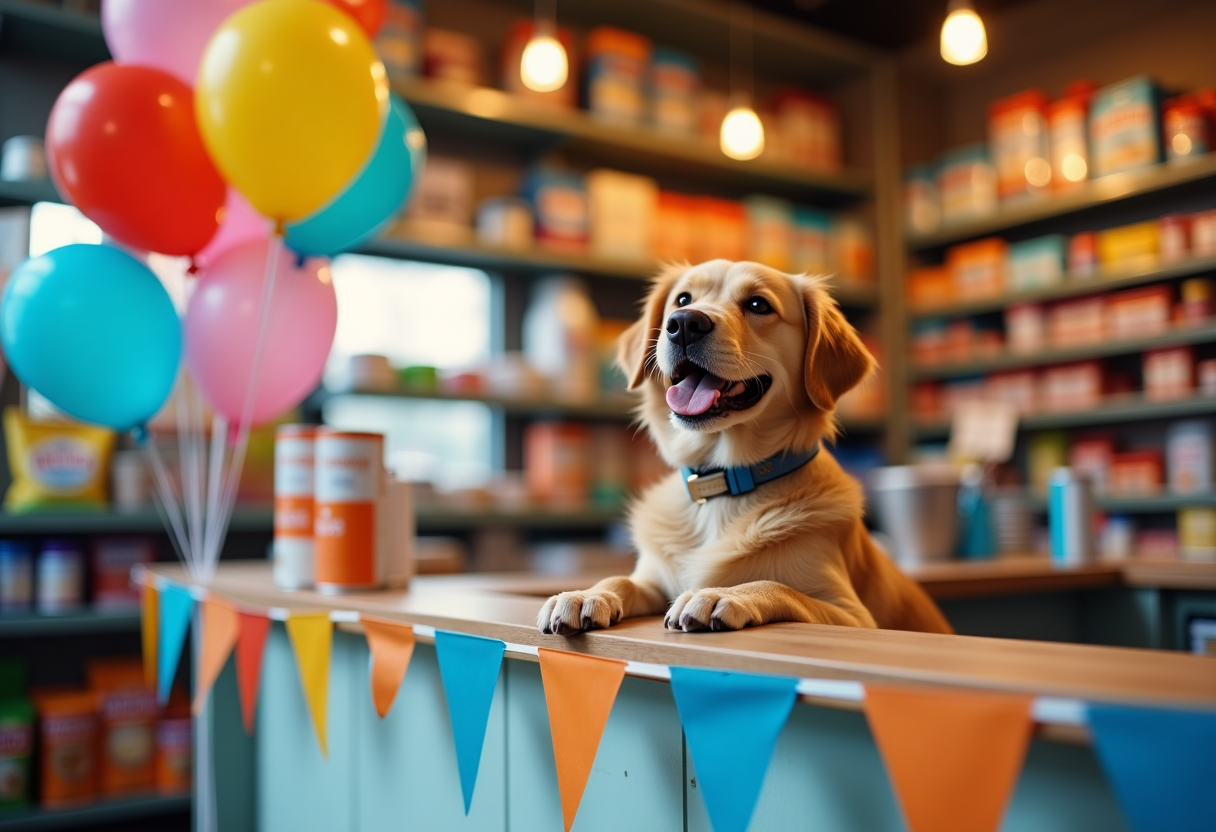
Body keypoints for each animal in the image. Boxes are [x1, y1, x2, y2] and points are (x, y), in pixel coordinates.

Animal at [539, 262, 948, 632]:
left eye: (757, 305)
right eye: (682, 299)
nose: (684, 323)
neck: (723, 487)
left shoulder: (854, 616)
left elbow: (778, 585)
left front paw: (720, 594)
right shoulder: (654, 579)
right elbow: (621, 579)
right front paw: (585, 594)